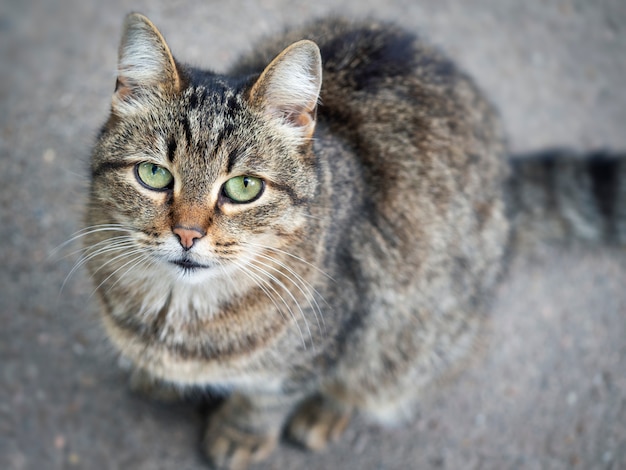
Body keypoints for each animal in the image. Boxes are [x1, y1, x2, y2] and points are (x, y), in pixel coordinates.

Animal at [83, 11, 624, 470]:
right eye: (154, 175)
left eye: (244, 187)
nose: (188, 234)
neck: (174, 313)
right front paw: (156, 377)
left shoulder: (324, 344)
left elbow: (266, 398)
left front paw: (241, 432)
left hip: (419, 330)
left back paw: (327, 411)